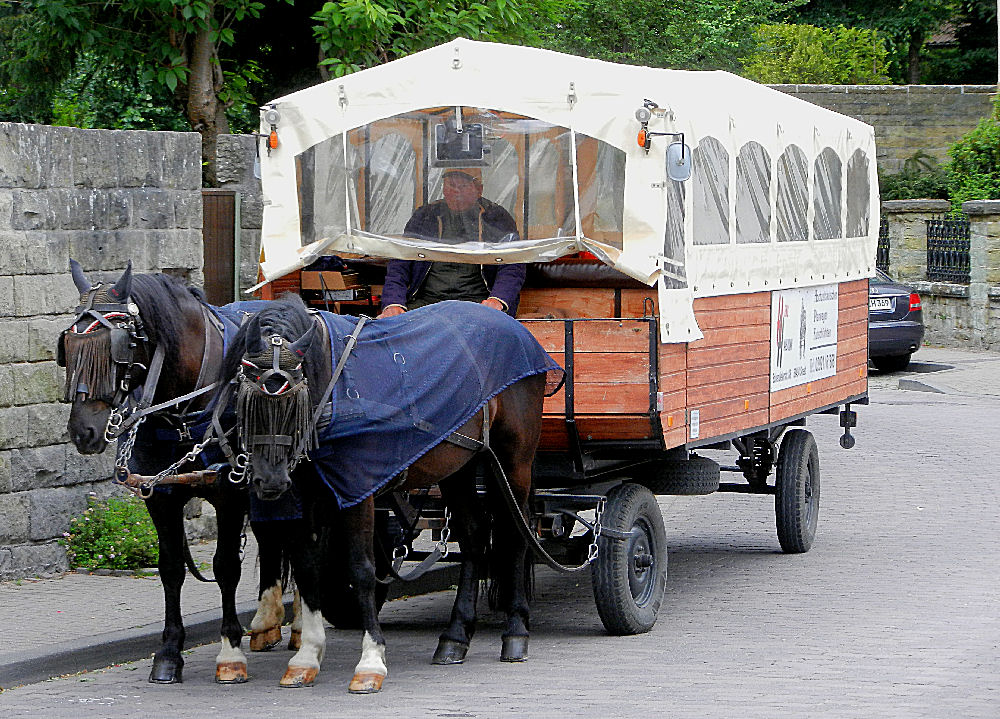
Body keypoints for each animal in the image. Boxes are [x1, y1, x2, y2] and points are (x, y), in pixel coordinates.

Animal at [58, 262, 296, 688]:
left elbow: (225, 566)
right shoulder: (161, 495)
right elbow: (170, 568)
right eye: (67, 349)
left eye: (119, 350)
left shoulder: (229, 493)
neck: (184, 408)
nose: (83, 431)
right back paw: (268, 626)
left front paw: (230, 651)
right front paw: (169, 652)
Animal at [216, 294, 560, 692]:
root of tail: (518, 330)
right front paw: (306, 658)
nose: (268, 481)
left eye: (292, 403)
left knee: (515, 536)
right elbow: (309, 568)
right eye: (244, 402)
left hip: (514, 457)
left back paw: (516, 631)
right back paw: (455, 637)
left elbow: (362, 569)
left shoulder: (359, 490)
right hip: (458, 464)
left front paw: (370, 661)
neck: (332, 386)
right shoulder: (310, 494)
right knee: (474, 538)